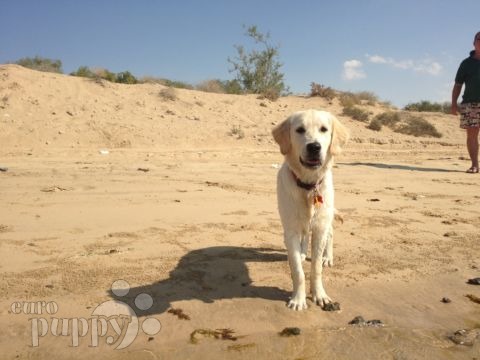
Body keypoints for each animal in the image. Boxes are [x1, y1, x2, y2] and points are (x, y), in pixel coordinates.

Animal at [272, 109, 346, 310]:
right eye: (299, 130)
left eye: (324, 129)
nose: (314, 147)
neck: (308, 185)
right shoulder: (290, 230)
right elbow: (298, 270)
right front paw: (298, 299)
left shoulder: (320, 227)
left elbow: (316, 269)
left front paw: (319, 295)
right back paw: (303, 253)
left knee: (331, 233)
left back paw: (327, 257)